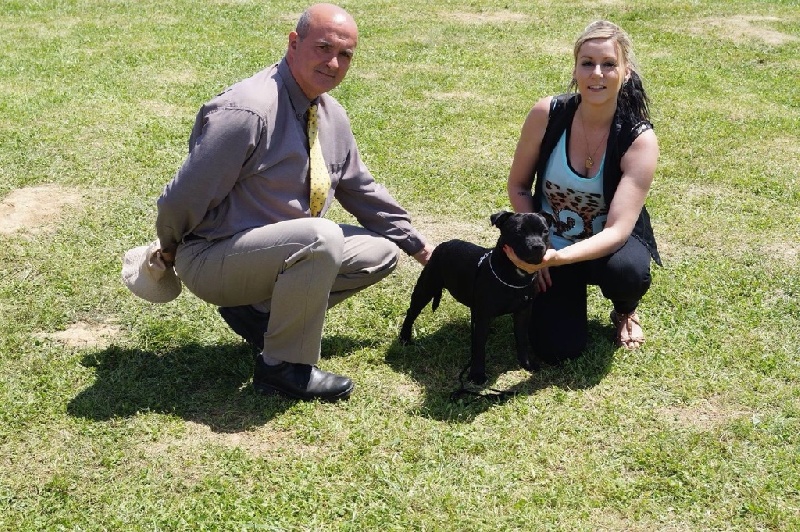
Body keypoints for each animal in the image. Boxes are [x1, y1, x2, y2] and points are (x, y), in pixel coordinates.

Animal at [399, 211, 550, 384]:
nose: (538, 246)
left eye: (545, 231)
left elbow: (522, 339)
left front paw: (526, 363)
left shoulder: (523, 313)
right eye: (518, 231)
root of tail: (445, 244)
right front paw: (477, 374)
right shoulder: (483, 315)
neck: (516, 276)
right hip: (426, 288)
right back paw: (404, 337)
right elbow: (478, 346)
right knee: (412, 312)